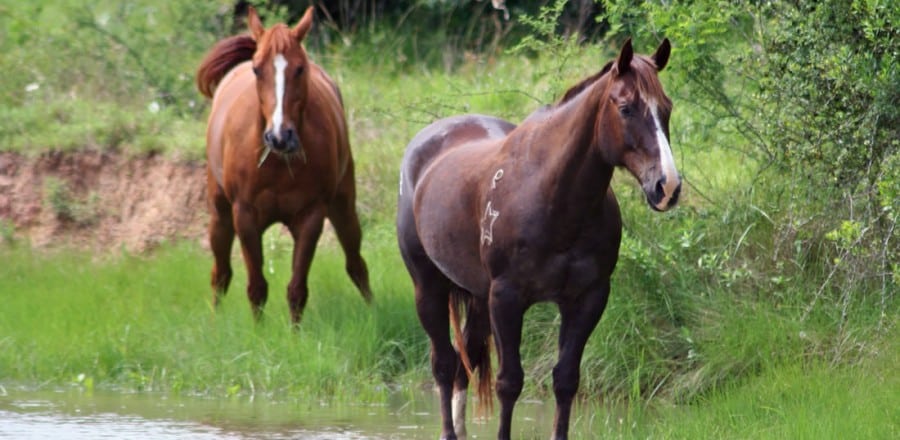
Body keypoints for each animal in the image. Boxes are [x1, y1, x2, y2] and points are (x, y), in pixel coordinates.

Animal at [196, 6, 372, 324]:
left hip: (343, 207)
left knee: (356, 264)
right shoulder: (244, 216)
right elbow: (256, 287)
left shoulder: (311, 216)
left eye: (300, 68)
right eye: (257, 69)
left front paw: (294, 333)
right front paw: (258, 332)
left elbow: (297, 288)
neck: (277, 164)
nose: (280, 136)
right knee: (221, 274)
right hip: (220, 216)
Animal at [397, 38, 678, 439]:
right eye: (625, 108)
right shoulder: (507, 298)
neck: (553, 197)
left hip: (478, 297)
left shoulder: (587, 298)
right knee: (444, 364)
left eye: (666, 108)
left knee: (464, 364)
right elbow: (509, 382)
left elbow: (566, 379)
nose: (667, 186)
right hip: (429, 288)